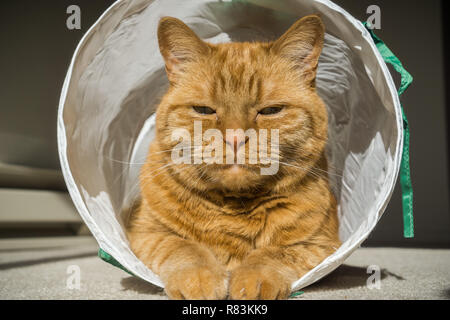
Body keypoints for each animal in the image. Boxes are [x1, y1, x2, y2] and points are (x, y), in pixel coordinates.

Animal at [125, 14, 340, 300]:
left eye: (270, 111)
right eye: (203, 110)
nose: (236, 138)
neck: (234, 208)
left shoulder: (322, 245)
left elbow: (273, 254)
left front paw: (252, 278)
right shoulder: (146, 233)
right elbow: (184, 247)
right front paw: (200, 279)